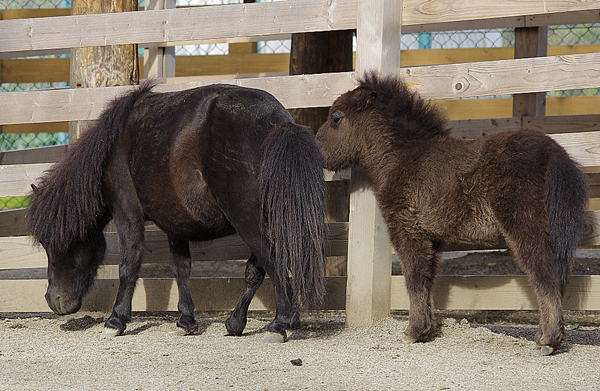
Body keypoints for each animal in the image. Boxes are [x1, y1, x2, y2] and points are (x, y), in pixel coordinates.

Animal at [27, 81, 328, 344]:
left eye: (61, 242)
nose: (54, 300)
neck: (114, 145)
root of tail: (278, 122)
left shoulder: (127, 211)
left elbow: (129, 264)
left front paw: (115, 321)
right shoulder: (176, 221)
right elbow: (181, 267)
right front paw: (186, 320)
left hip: (248, 220)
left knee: (273, 261)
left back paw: (280, 324)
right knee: (256, 269)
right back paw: (236, 322)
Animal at [316, 70, 588, 356]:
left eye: (336, 117)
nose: (317, 151)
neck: (401, 158)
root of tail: (553, 152)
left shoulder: (407, 230)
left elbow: (414, 277)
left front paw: (413, 331)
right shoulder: (432, 239)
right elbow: (427, 279)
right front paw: (427, 330)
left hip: (525, 228)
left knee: (545, 277)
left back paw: (547, 340)